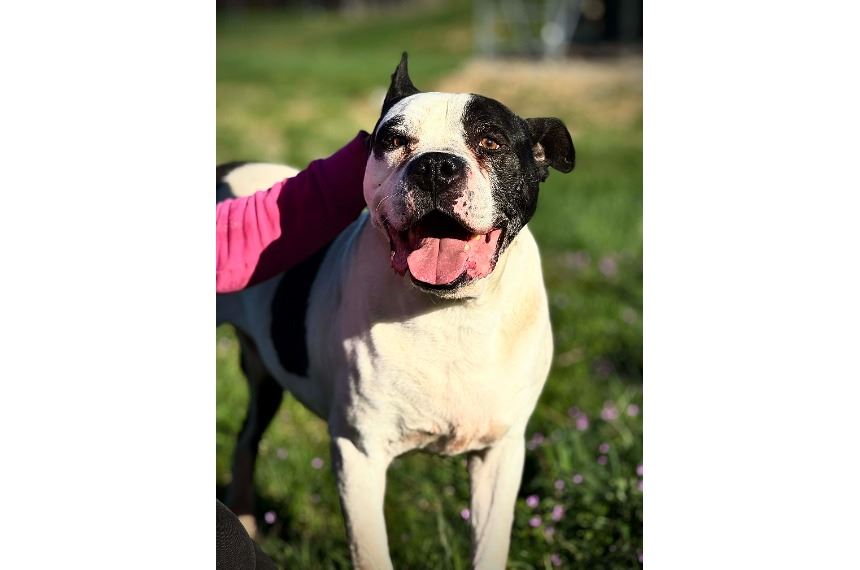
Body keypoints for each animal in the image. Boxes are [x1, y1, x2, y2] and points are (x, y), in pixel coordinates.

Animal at [217, 53, 574, 569]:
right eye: (391, 140)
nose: (436, 167)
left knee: (246, 438)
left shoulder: (500, 454)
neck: (450, 313)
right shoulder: (359, 454)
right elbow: (371, 553)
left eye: (491, 141)